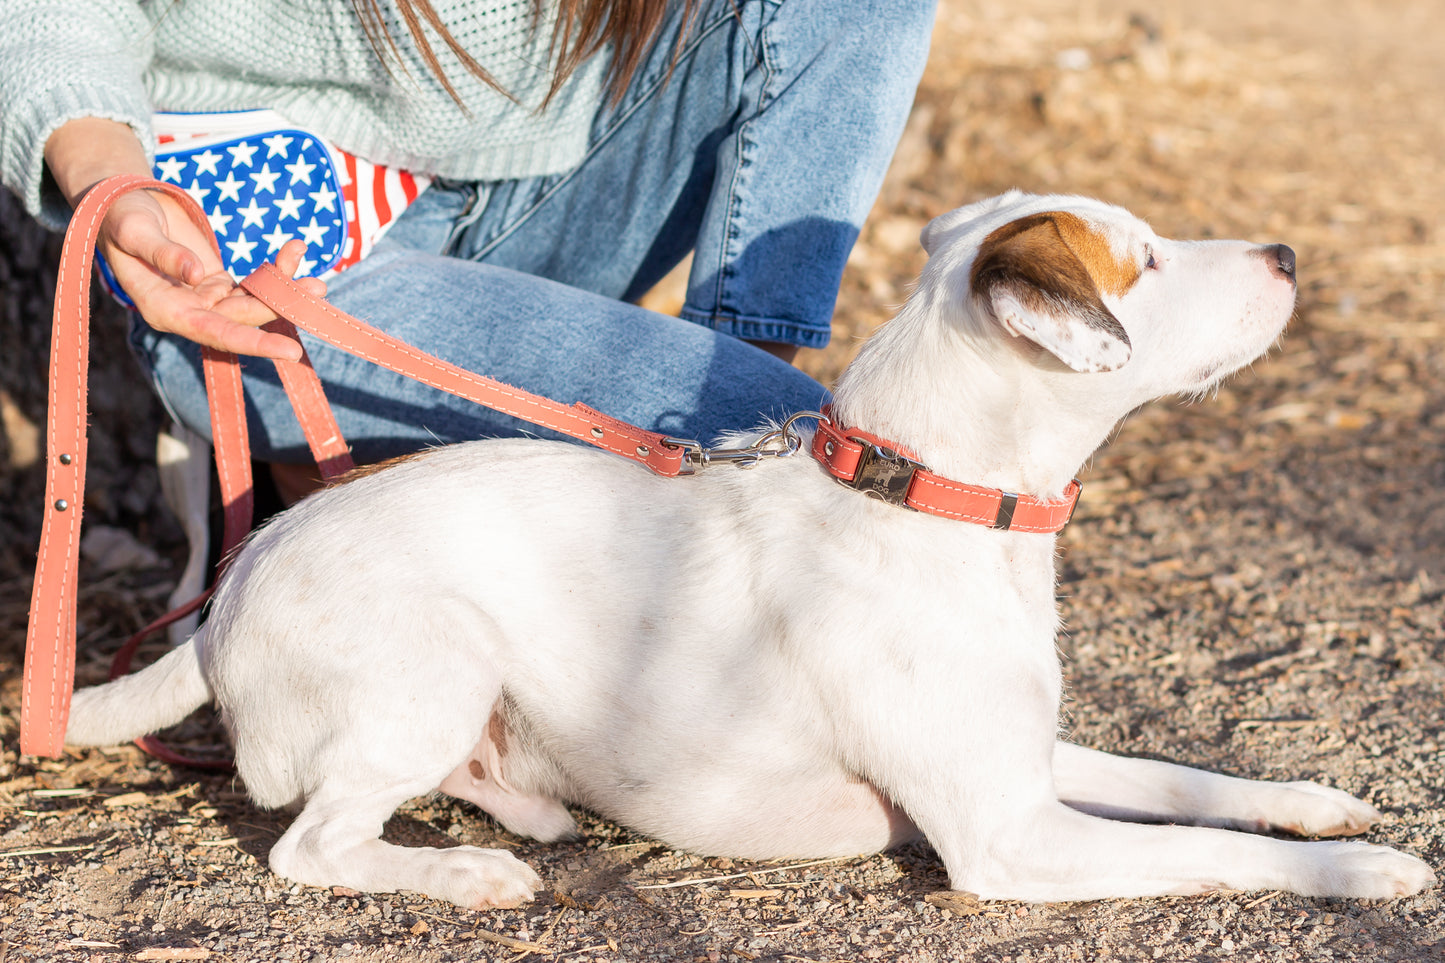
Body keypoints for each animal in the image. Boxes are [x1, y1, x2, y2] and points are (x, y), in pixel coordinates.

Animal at [59, 190, 1433, 902]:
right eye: (1143, 260)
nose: (1286, 251)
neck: (927, 506)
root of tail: (228, 593)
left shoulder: (1030, 767)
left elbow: (1191, 783)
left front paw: (1312, 806)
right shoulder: (1009, 837)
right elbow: (1201, 848)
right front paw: (1363, 872)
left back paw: (529, 808)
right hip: (426, 665)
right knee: (312, 846)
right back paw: (473, 876)